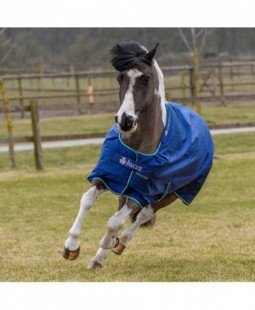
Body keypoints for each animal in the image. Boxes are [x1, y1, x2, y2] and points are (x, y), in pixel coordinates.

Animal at [62, 41, 214, 268]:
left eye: (146, 78)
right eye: (120, 77)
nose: (125, 120)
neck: (137, 147)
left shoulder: (141, 192)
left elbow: (115, 221)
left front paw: (108, 241)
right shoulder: (108, 178)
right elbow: (87, 200)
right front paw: (71, 246)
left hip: (174, 193)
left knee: (143, 214)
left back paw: (119, 243)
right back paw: (98, 258)